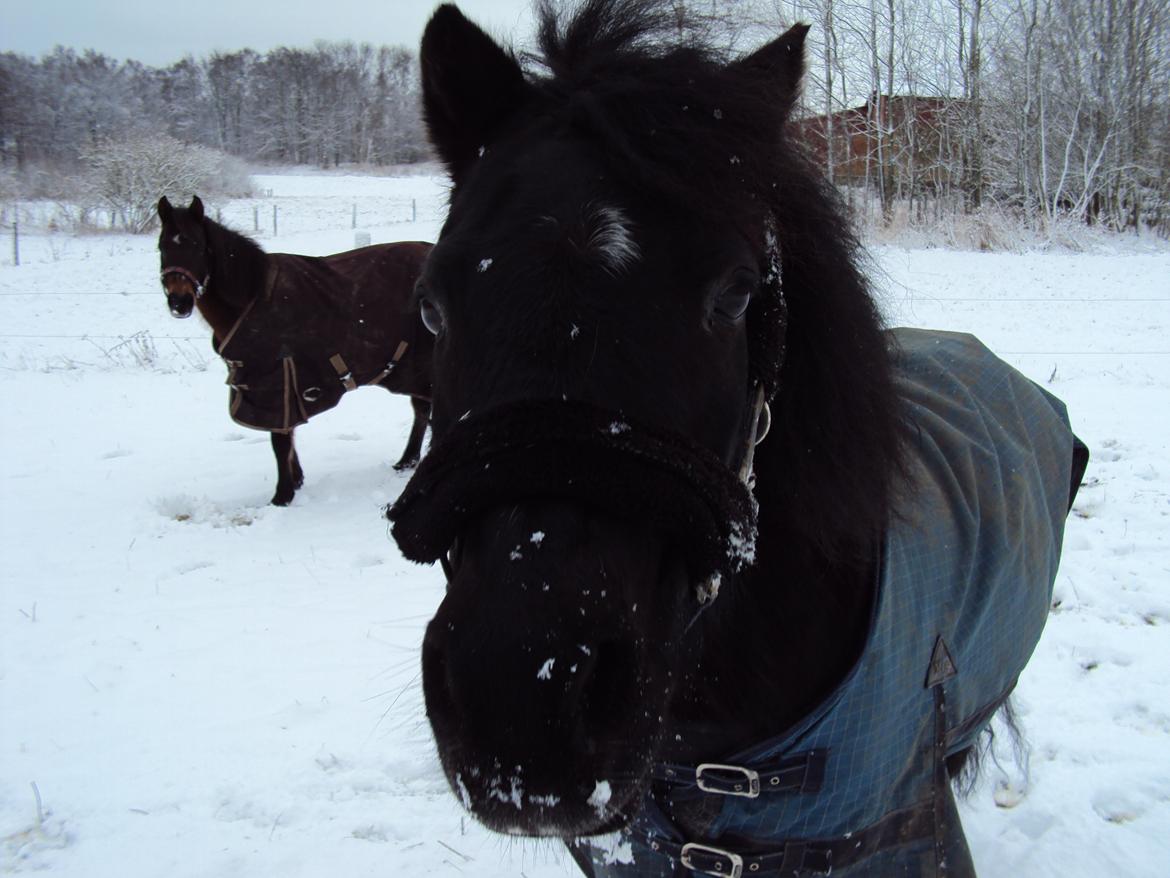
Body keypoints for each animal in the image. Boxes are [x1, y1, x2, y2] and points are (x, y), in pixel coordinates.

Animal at [154, 195, 430, 505]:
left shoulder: (277, 381)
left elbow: (280, 440)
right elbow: (288, 435)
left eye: (197, 245)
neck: (252, 296)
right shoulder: (281, 383)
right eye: (162, 247)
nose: (179, 303)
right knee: (422, 411)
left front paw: (282, 495)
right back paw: (406, 461)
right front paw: (296, 480)